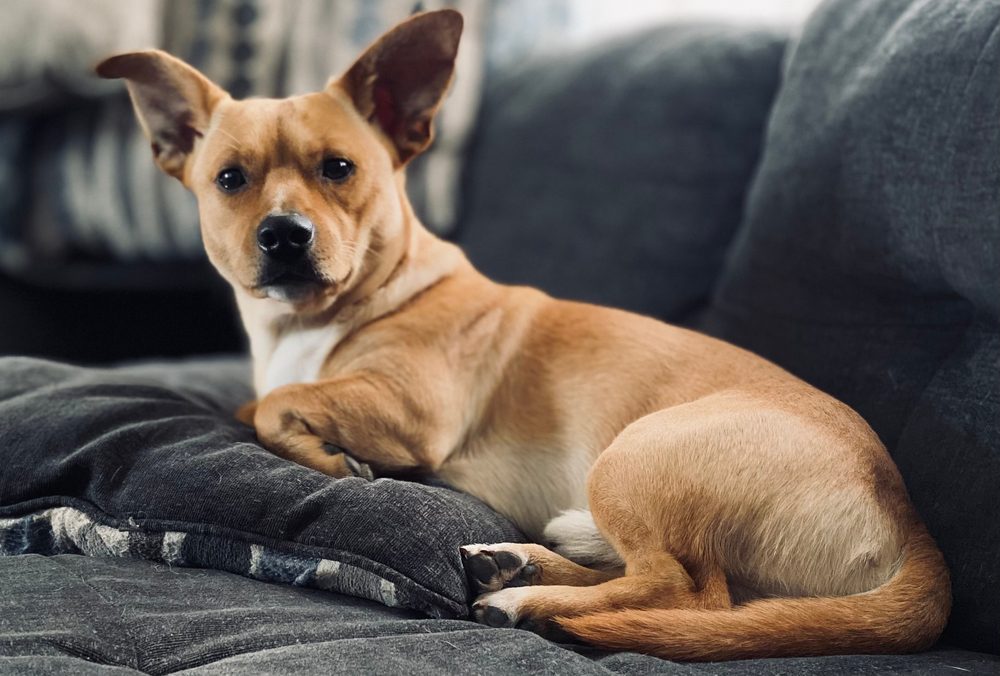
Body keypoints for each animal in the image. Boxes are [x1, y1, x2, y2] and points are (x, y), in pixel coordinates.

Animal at [99, 9, 952, 660]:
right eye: (230, 180)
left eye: (338, 168)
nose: (284, 235)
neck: (315, 318)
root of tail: (911, 523)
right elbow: (261, 402)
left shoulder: (411, 410)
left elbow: (273, 408)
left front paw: (333, 460)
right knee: (664, 582)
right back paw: (518, 567)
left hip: (633, 461)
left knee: (691, 593)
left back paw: (530, 605)